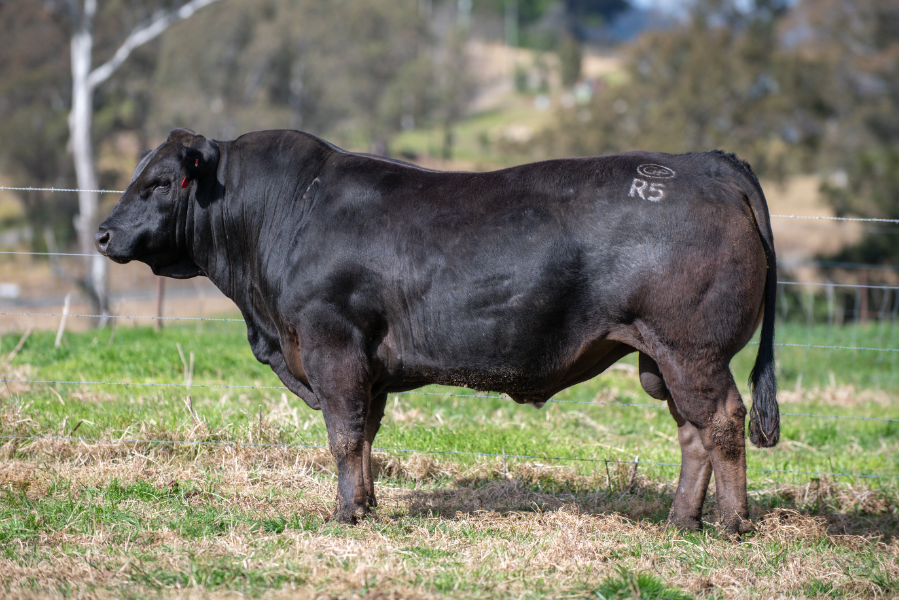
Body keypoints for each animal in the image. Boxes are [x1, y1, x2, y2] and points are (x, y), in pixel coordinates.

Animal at [95, 127, 776, 536]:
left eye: (159, 182)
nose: (102, 233)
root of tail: (702, 163)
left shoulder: (333, 345)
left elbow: (344, 435)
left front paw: (343, 514)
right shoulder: (369, 367)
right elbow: (366, 437)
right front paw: (366, 505)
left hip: (692, 350)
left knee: (722, 421)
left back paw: (732, 523)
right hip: (663, 360)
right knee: (692, 433)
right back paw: (681, 519)